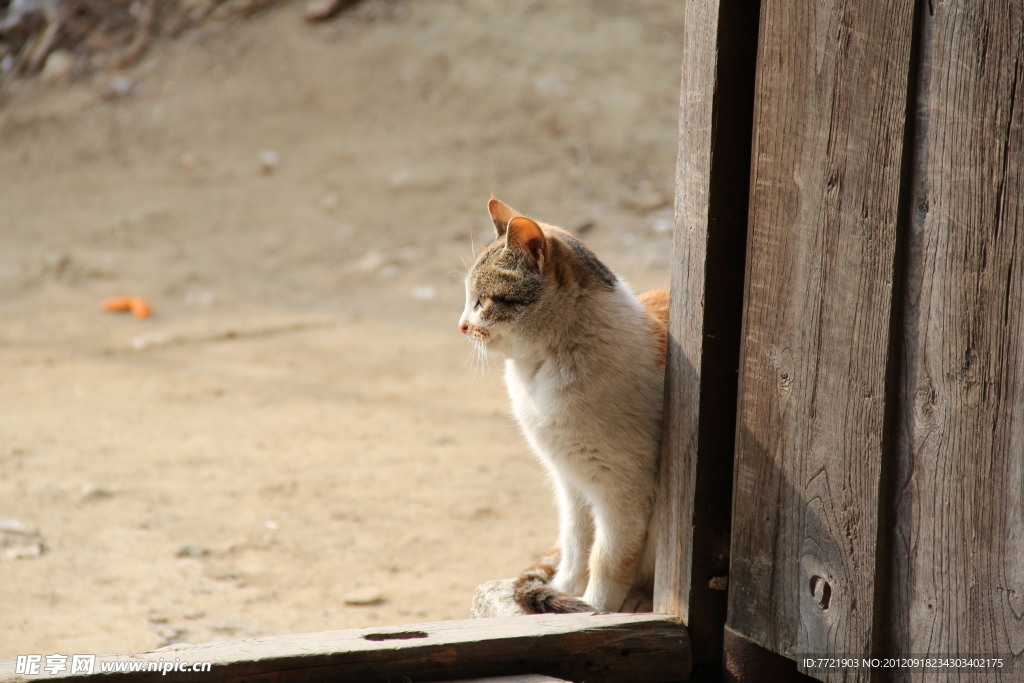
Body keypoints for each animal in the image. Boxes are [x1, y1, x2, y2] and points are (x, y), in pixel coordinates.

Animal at [458, 197, 667, 614]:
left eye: (482, 301)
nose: (461, 325)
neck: (541, 371)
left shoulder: (622, 490)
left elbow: (606, 557)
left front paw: (596, 609)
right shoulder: (569, 480)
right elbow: (576, 545)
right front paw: (565, 590)